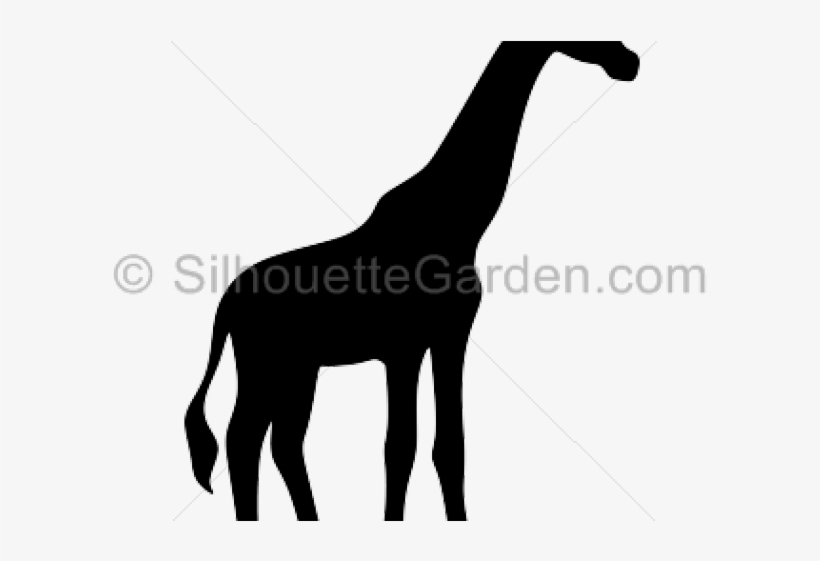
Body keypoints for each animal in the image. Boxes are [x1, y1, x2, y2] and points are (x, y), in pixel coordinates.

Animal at [185, 41, 640, 521]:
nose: (629, 62)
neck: (456, 223)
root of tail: (225, 305)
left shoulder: (450, 336)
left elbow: (450, 447)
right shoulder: (402, 346)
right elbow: (400, 447)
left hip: (297, 367)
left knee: (283, 442)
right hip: (263, 363)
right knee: (243, 438)